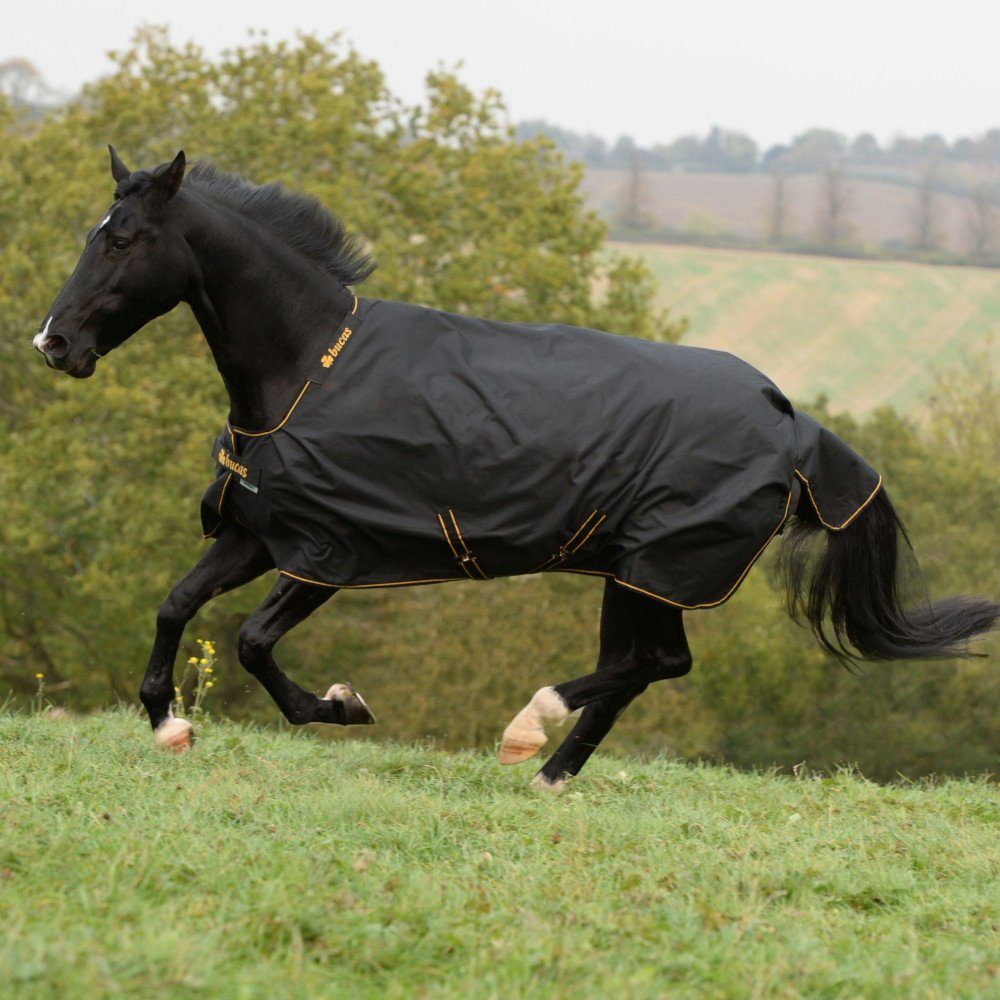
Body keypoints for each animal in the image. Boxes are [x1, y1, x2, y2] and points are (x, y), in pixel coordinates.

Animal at [33, 148, 998, 790]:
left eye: (122, 239)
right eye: (94, 232)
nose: (54, 343)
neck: (310, 366)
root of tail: (793, 421)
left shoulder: (326, 553)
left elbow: (252, 643)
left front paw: (344, 704)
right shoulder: (254, 535)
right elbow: (174, 606)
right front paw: (169, 725)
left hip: (665, 564)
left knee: (655, 664)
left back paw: (529, 728)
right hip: (634, 573)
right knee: (643, 665)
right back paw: (549, 773)